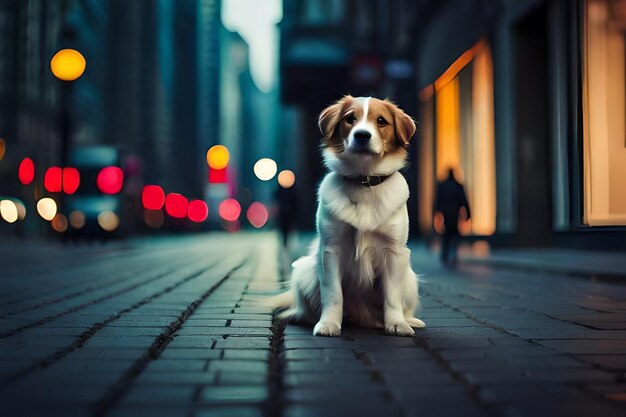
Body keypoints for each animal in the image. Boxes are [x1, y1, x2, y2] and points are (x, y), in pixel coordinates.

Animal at [272, 94, 424, 334]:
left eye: (381, 121)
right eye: (350, 119)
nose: (362, 135)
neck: (364, 180)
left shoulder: (394, 252)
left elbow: (392, 297)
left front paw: (397, 324)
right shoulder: (330, 250)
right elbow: (333, 294)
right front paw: (328, 324)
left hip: (409, 279)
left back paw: (409, 320)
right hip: (303, 271)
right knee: (304, 308)